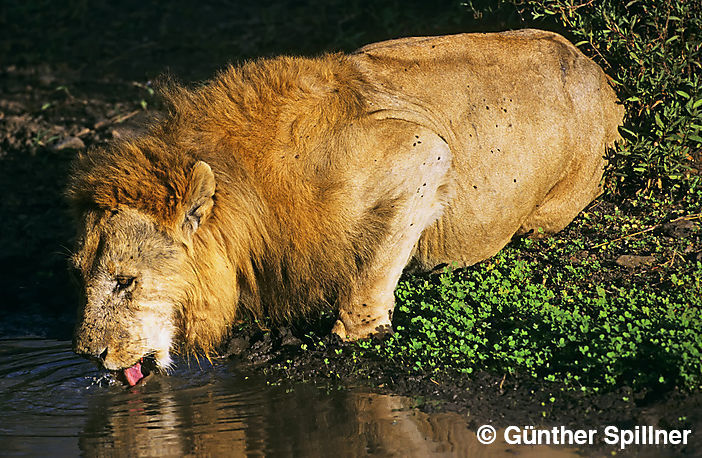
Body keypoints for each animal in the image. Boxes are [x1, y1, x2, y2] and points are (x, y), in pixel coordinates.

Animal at [69, 30, 624, 384]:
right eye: (81, 276)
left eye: (125, 282)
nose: (90, 357)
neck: (251, 191)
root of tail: (599, 71)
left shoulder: (423, 150)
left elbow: (373, 265)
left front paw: (352, 332)